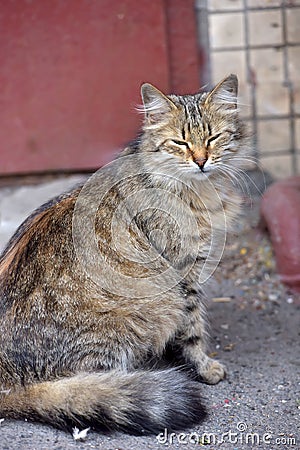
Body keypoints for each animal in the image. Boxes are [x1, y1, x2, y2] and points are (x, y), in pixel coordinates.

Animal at [0, 75, 248, 434]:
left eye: (213, 137)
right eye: (180, 142)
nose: (201, 161)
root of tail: (8, 382)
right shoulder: (182, 275)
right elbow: (193, 329)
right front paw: (204, 367)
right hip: (140, 313)